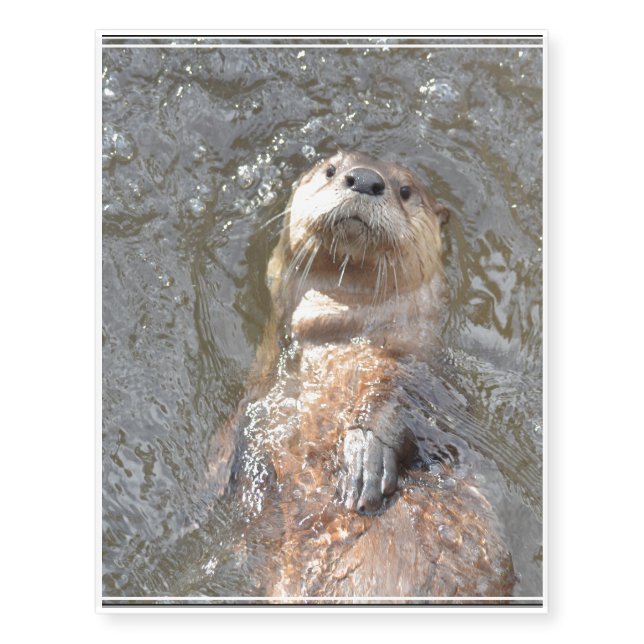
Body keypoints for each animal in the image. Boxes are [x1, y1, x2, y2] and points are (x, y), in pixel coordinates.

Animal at [208, 150, 515, 599]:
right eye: (331, 169)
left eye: (405, 190)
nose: (366, 179)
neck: (341, 339)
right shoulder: (262, 382)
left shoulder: (423, 373)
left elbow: (398, 399)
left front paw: (365, 455)